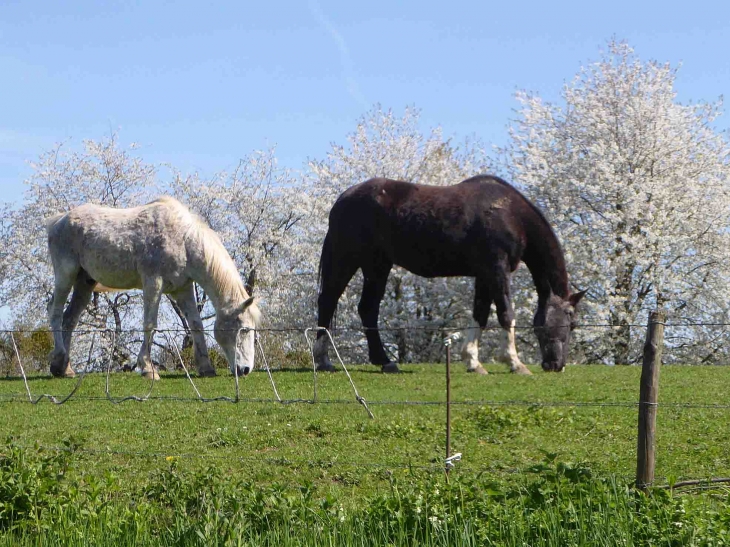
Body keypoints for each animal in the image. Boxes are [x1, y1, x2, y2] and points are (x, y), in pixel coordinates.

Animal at [44, 197, 260, 382]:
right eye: (244, 330)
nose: (245, 369)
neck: (183, 240)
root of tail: (58, 220)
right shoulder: (153, 283)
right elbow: (150, 324)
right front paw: (148, 369)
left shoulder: (183, 289)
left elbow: (196, 324)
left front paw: (206, 368)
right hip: (66, 276)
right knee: (55, 311)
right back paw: (59, 358)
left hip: (84, 283)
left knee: (69, 319)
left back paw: (64, 368)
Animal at [310, 178, 584, 374]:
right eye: (571, 322)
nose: (556, 365)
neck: (510, 213)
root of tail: (344, 198)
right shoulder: (497, 269)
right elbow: (506, 314)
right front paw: (515, 363)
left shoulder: (484, 274)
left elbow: (480, 314)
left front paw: (473, 362)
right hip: (348, 259)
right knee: (328, 301)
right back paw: (323, 360)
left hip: (377, 265)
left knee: (367, 308)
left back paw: (384, 362)